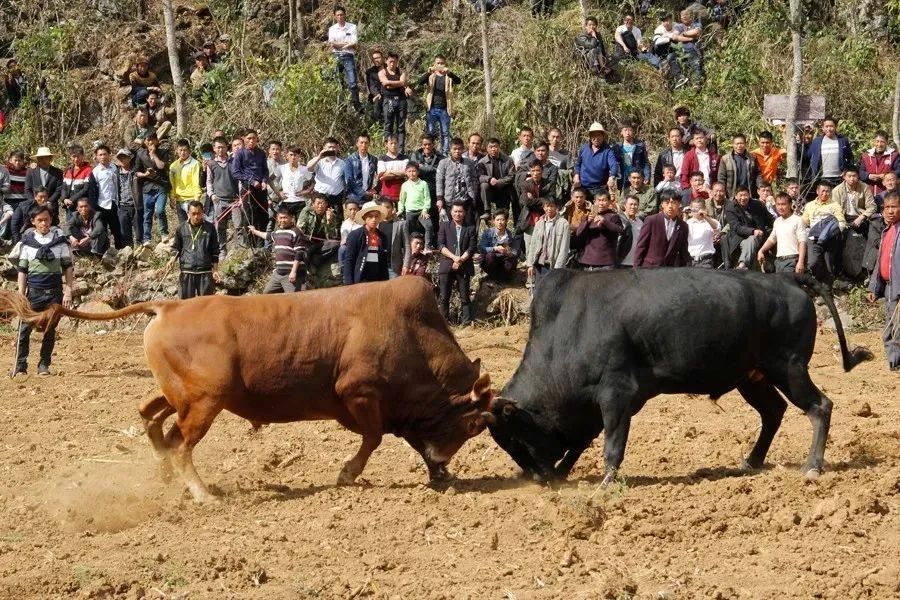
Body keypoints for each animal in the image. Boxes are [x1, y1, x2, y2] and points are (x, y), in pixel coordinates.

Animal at [0, 278, 492, 504]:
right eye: (472, 425)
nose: (444, 470)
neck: (409, 333)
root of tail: (169, 306)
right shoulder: (360, 394)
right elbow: (371, 439)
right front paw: (347, 473)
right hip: (204, 403)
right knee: (180, 443)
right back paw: (201, 494)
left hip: (179, 396)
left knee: (150, 416)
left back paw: (165, 476)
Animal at [486, 270, 872, 486]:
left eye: (516, 438)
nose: (539, 479)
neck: (569, 326)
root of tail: (789, 279)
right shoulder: (596, 406)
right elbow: (581, 441)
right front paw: (568, 470)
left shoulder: (616, 395)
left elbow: (612, 443)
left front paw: (607, 481)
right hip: (753, 377)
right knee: (773, 412)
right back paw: (751, 461)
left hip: (789, 368)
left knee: (820, 407)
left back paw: (812, 467)